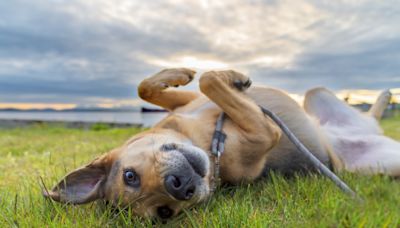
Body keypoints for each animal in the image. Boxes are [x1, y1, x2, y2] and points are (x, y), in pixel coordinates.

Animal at [44, 67, 400, 219]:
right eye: (164, 213)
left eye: (129, 175)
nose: (179, 186)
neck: (205, 139)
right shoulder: (265, 131)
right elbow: (210, 81)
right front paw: (230, 77)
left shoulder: (189, 102)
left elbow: (151, 87)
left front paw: (184, 73)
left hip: (316, 95)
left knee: (369, 115)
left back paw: (384, 97)